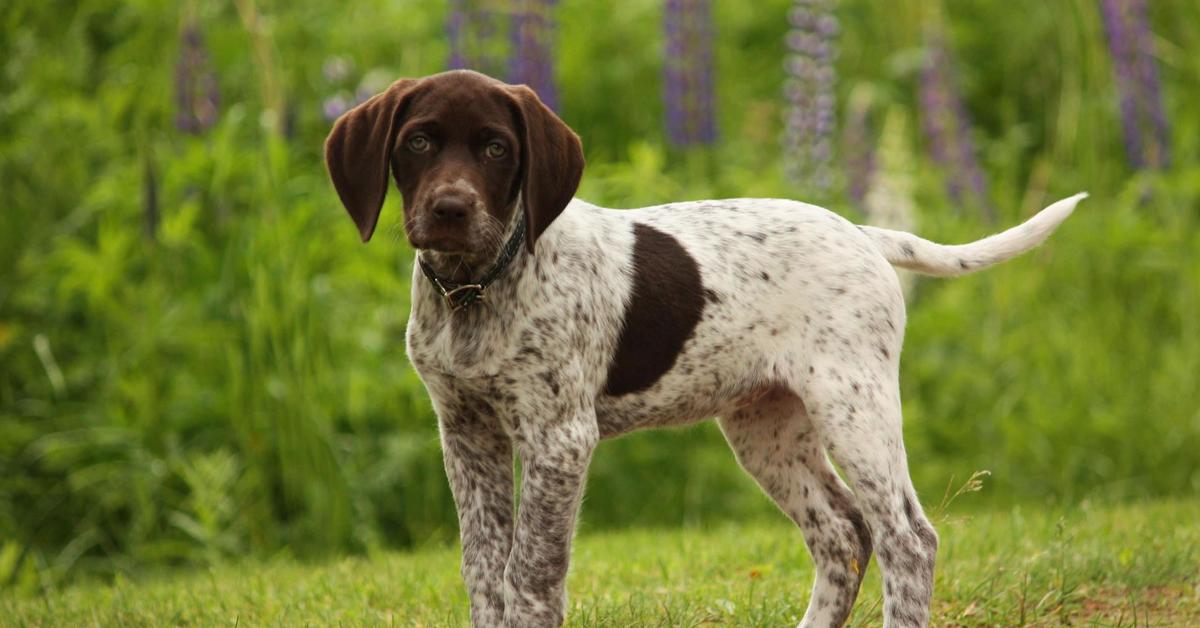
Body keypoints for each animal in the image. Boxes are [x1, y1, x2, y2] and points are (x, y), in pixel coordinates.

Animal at [324, 68, 1084, 624]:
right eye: (418, 143)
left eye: (496, 149)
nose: (450, 210)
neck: (477, 287)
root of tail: (863, 233)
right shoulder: (466, 433)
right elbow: (484, 571)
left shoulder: (559, 439)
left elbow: (530, 575)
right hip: (766, 426)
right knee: (842, 534)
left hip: (852, 406)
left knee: (907, 539)